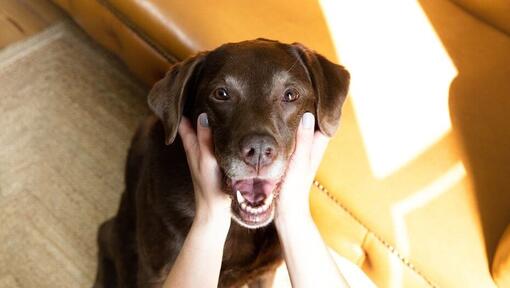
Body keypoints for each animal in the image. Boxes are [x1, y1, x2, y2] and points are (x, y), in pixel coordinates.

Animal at [93, 38, 348, 288]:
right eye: (221, 94)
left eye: (291, 95)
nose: (258, 151)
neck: (238, 228)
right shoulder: (155, 273)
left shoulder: (264, 273)